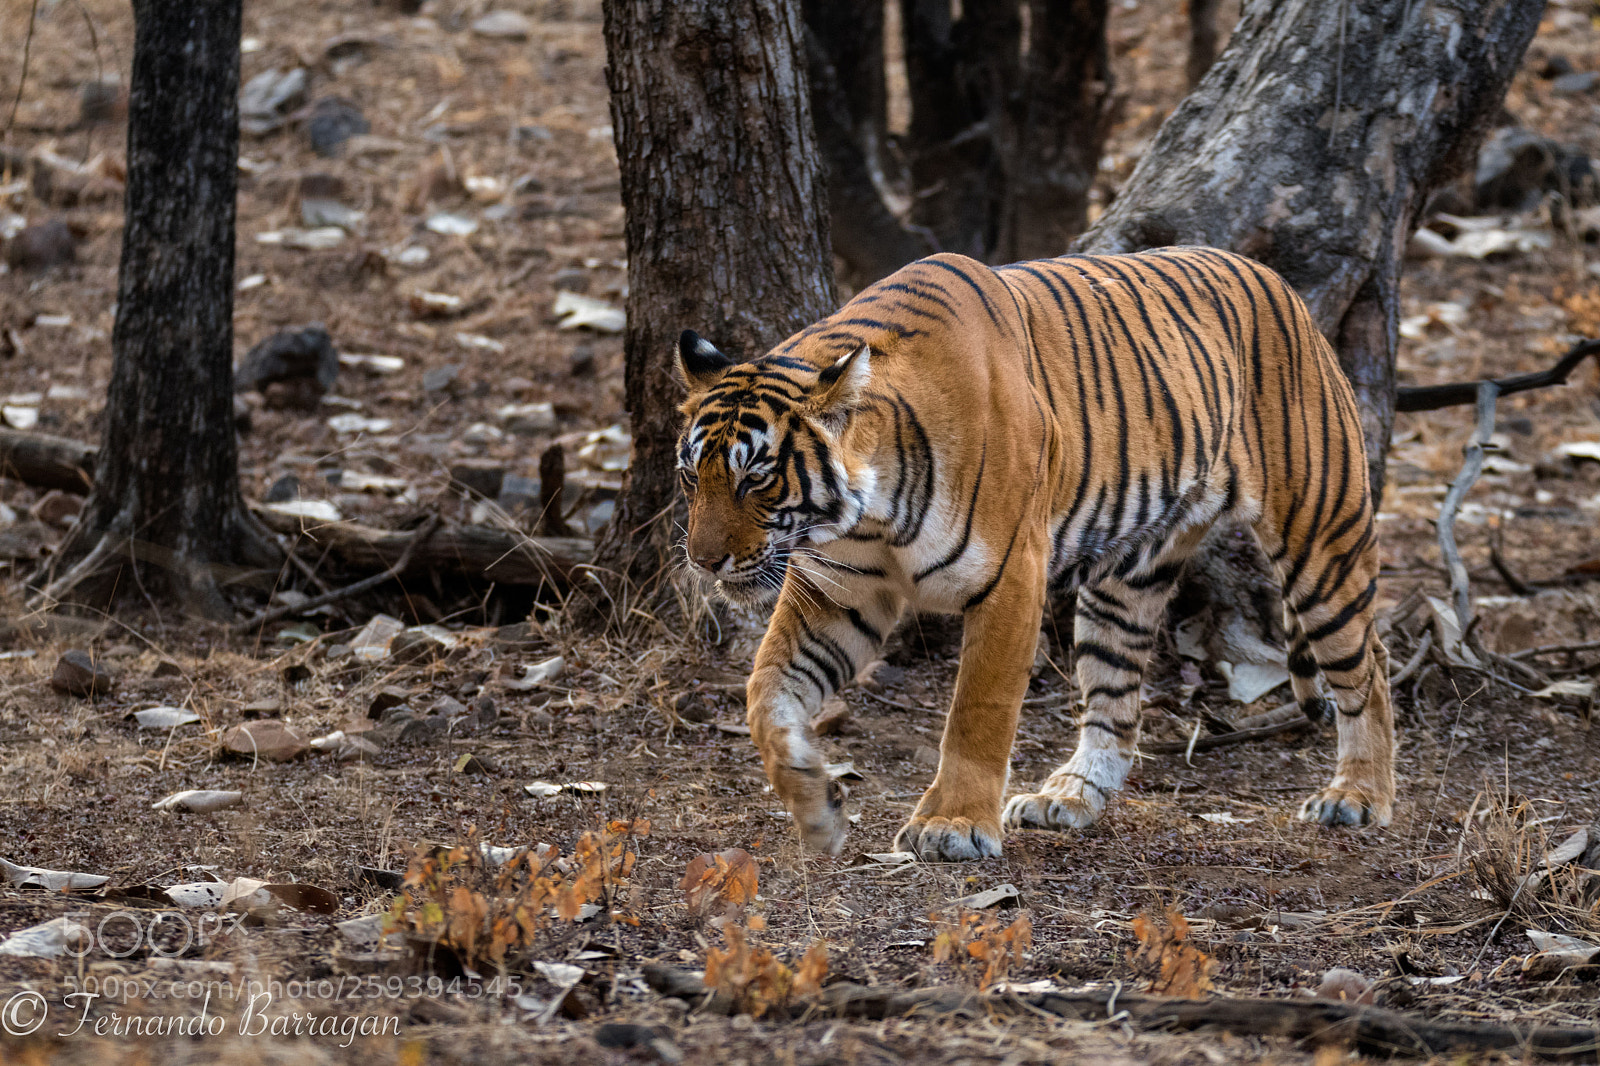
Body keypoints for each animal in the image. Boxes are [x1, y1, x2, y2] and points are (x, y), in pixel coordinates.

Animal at [675, 247, 1395, 862]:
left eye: (755, 478)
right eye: (690, 477)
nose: (703, 561)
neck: (869, 517)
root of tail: (1276, 281)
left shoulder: (1011, 577)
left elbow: (978, 710)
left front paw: (953, 824)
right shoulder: (836, 595)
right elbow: (765, 692)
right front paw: (814, 803)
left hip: (1322, 538)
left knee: (1368, 666)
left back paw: (1358, 796)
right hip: (1127, 579)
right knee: (1113, 697)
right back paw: (1069, 797)